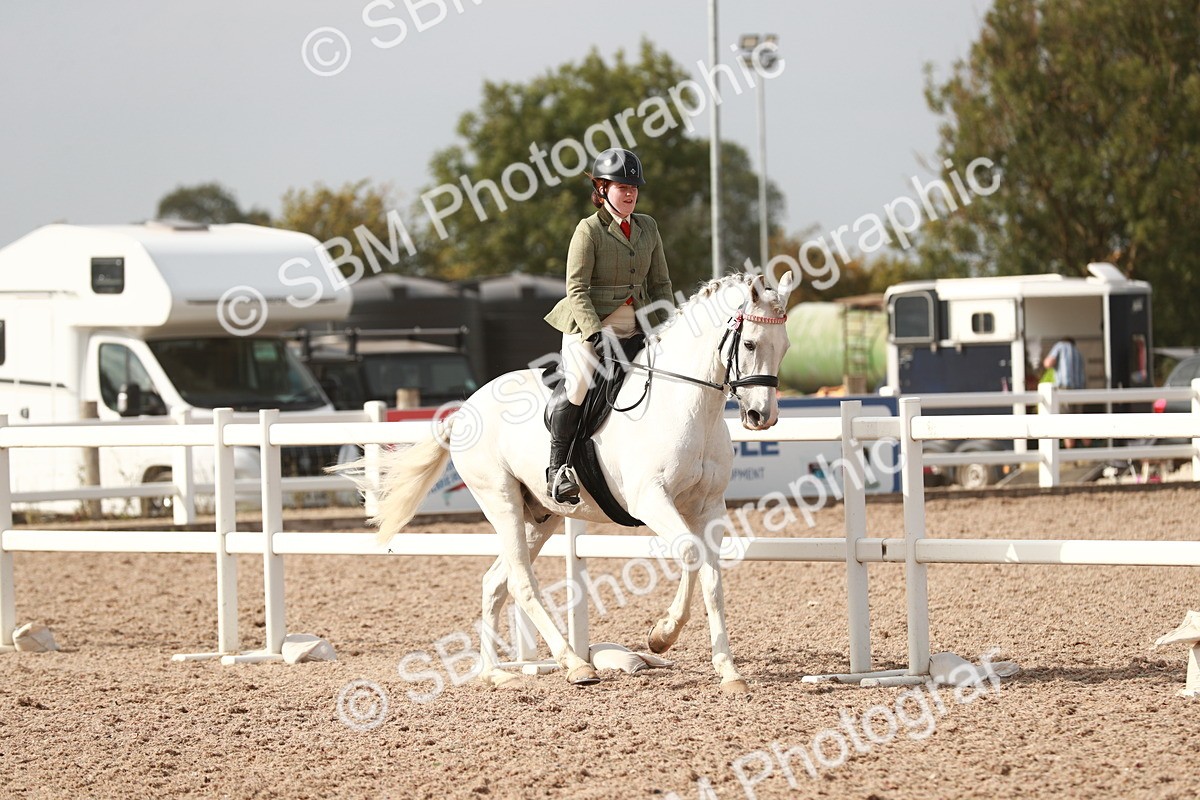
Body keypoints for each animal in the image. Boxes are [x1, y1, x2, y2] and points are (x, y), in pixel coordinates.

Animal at [354, 271, 794, 694]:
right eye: (750, 343)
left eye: (785, 346)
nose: (762, 416)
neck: (687, 406)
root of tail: (462, 411)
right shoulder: (650, 500)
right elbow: (689, 554)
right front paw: (661, 636)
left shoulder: (709, 507)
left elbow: (712, 578)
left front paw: (728, 671)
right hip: (501, 501)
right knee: (520, 582)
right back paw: (574, 664)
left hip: (541, 516)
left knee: (495, 582)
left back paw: (495, 674)